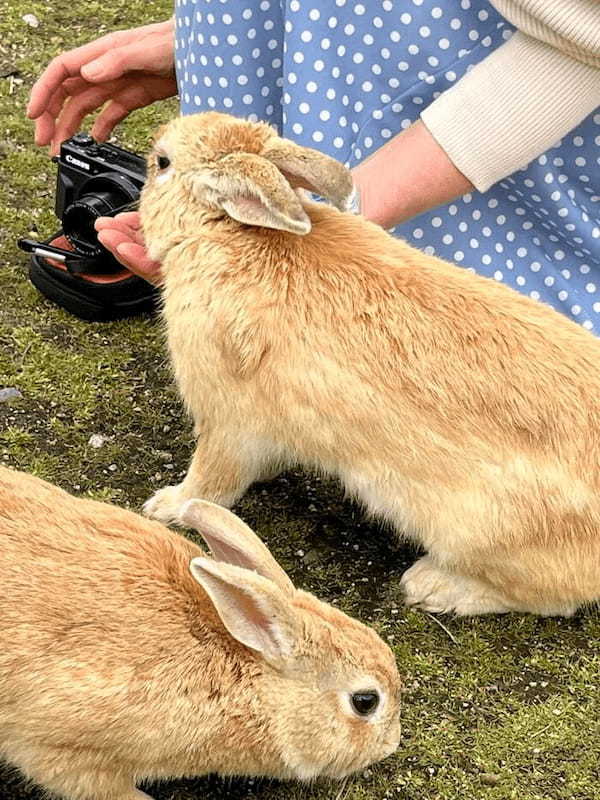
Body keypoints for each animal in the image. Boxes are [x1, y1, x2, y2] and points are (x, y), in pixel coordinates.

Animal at [139, 111, 600, 620]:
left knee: (552, 598)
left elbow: (209, 482)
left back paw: (433, 586)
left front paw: (167, 505)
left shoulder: (226, 422)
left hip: (484, 534)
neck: (222, 231)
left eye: (163, 162)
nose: (151, 151)